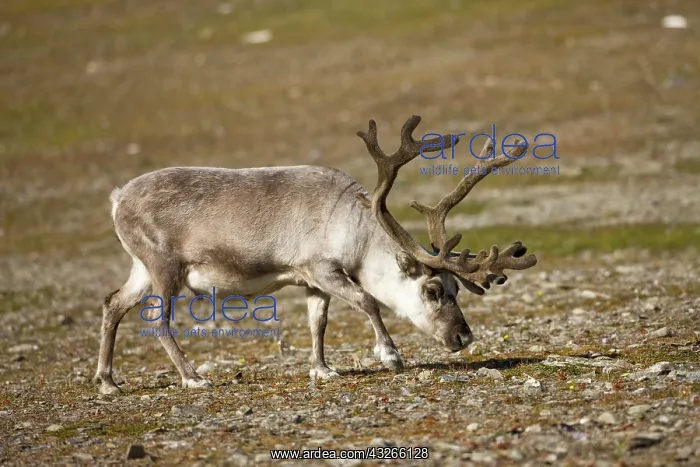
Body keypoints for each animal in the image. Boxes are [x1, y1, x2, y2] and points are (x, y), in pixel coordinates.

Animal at [93, 115, 538, 395]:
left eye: (457, 289)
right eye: (432, 290)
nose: (463, 336)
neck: (354, 227)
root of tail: (116, 198)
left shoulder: (312, 283)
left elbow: (317, 323)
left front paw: (322, 369)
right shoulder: (321, 267)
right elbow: (367, 300)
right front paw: (390, 355)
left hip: (141, 268)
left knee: (113, 303)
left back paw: (108, 382)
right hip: (164, 267)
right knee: (157, 319)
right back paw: (192, 378)